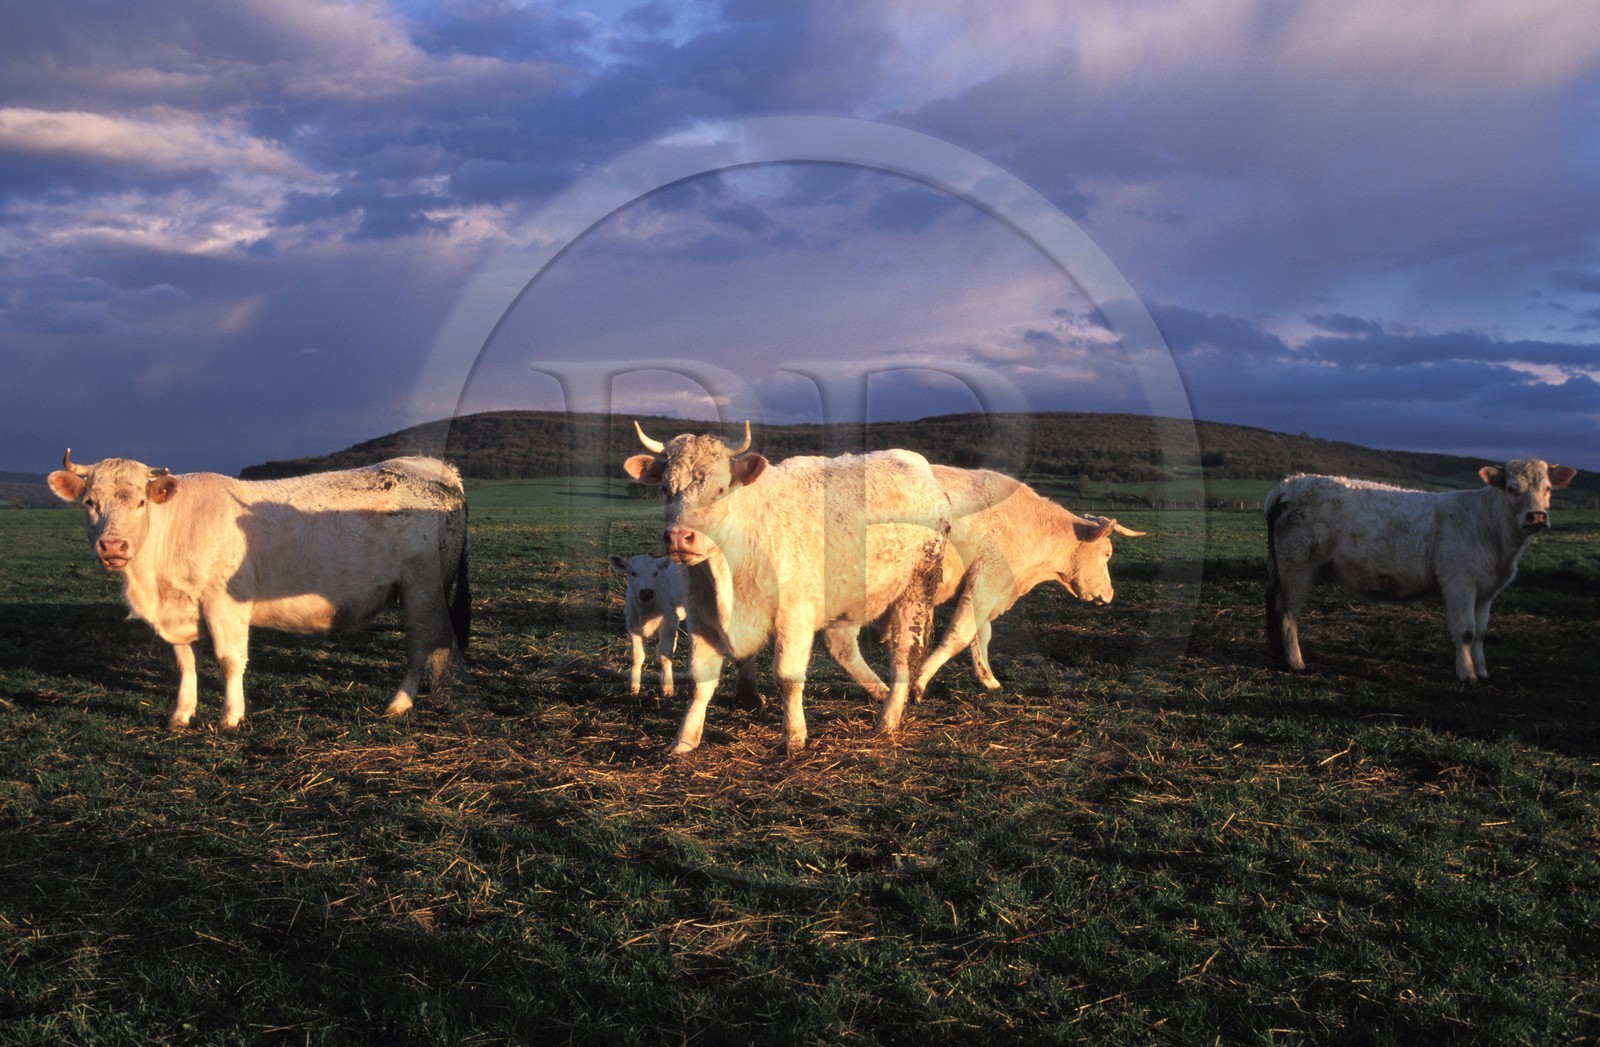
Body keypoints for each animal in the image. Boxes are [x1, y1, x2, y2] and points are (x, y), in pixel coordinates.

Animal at [47, 450, 470, 729]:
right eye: (90, 502)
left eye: (139, 502)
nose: (113, 547)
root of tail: (434, 466)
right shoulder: (181, 610)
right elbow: (185, 661)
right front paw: (181, 713)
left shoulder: (224, 604)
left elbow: (229, 659)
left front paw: (231, 717)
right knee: (439, 643)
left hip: (422, 588)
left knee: (422, 645)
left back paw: (399, 703)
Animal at [608, 553, 687, 698]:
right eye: (633, 573)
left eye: (655, 573)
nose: (647, 592)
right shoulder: (633, 626)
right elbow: (637, 657)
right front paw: (634, 687)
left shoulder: (668, 623)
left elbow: (664, 656)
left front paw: (667, 688)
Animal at [623, 421, 949, 755]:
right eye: (666, 489)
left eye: (720, 489)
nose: (678, 537)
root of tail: (913, 462)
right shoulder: (702, 618)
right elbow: (700, 680)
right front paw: (684, 739)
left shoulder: (794, 616)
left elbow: (788, 677)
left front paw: (793, 735)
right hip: (845, 595)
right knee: (843, 647)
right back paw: (878, 691)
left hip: (917, 588)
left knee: (904, 655)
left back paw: (888, 718)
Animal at [830, 466, 1146, 697]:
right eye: (1107, 553)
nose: (1109, 594)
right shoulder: (986, 581)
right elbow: (960, 635)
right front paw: (920, 681)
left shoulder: (988, 591)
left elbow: (981, 636)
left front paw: (988, 679)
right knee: (843, 645)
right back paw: (883, 691)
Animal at [1265, 460, 1577, 681]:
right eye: (1512, 489)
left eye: (1548, 489)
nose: (1536, 516)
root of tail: (1289, 484)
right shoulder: (1460, 583)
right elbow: (1465, 631)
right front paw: (1467, 675)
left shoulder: (1487, 591)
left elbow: (1480, 632)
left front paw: (1483, 671)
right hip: (1297, 565)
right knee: (1287, 613)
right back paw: (1296, 663)